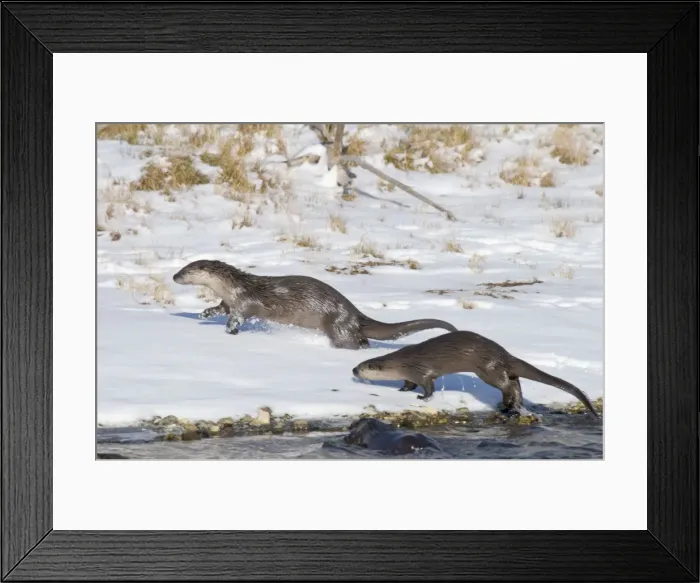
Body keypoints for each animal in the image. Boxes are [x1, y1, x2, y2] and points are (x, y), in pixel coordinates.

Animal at [172, 259, 457, 349]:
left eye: (185, 271)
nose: (174, 276)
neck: (234, 287)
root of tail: (355, 314)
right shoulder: (228, 301)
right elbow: (220, 309)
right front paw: (204, 314)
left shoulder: (245, 301)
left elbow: (240, 317)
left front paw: (230, 330)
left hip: (338, 326)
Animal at [352, 330, 600, 417]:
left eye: (363, 366)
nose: (353, 369)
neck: (403, 361)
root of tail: (504, 354)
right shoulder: (409, 374)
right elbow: (407, 383)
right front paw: (402, 390)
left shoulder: (422, 371)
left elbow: (428, 386)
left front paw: (422, 397)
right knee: (515, 381)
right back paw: (513, 404)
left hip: (487, 368)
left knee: (506, 383)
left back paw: (507, 403)